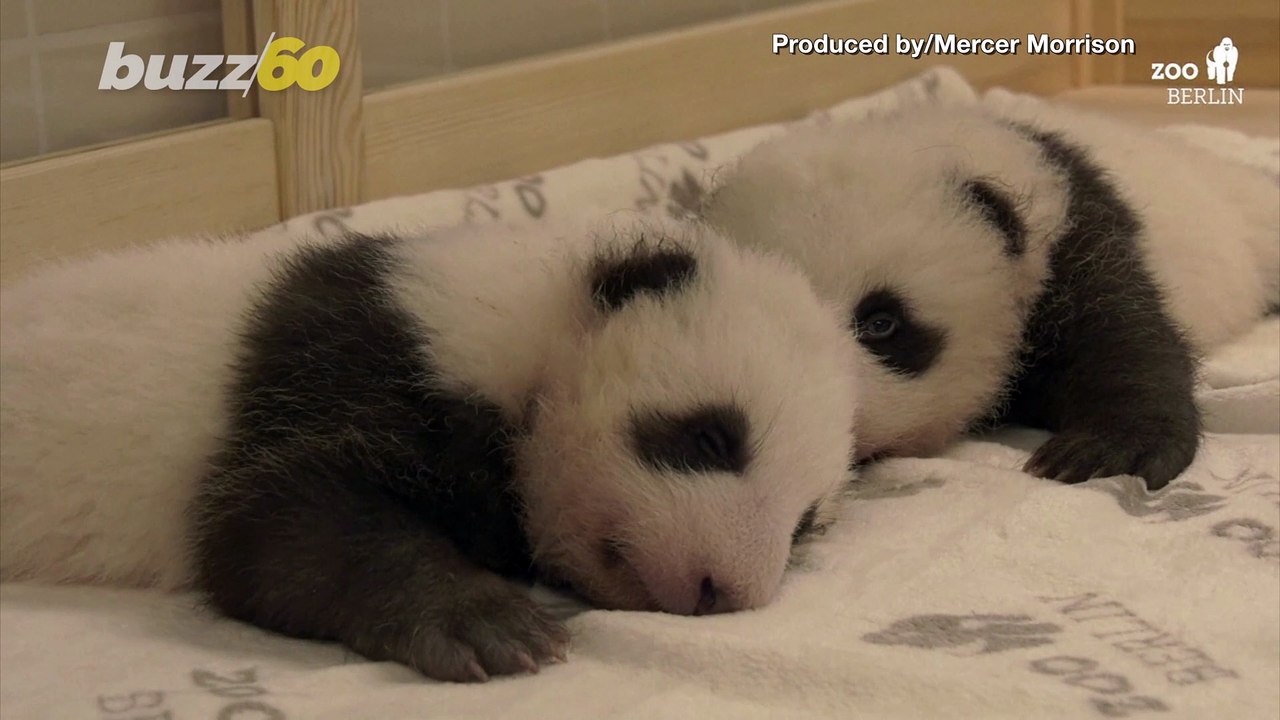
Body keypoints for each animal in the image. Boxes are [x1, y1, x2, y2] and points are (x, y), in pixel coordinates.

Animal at [0, 216, 860, 682]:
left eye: (804, 524)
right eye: (713, 437)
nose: (726, 590)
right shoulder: (359, 355)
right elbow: (272, 519)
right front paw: (490, 625)